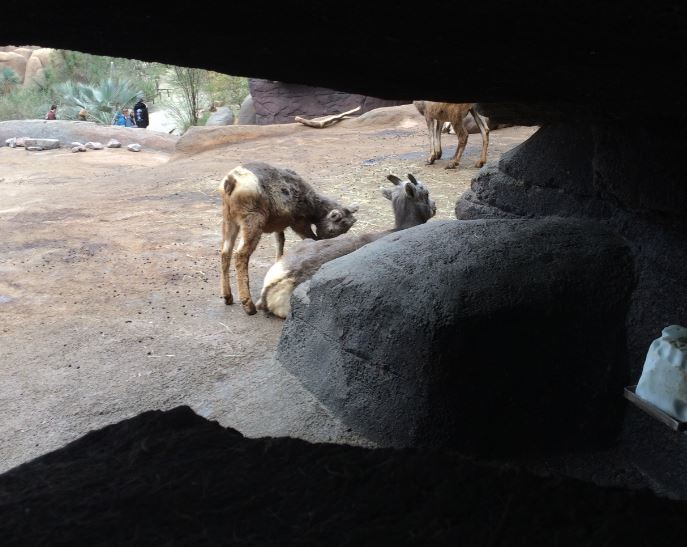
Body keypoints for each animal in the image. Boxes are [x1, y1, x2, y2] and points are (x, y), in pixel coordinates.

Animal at [219, 162, 359, 315]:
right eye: (333, 229)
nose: (328, 241)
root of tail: (231, 182)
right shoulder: (299, 222)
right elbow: (309, 237)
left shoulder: (279, 226)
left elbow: (280, 242)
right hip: (252, 222)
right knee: (240, 255)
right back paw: (248, 306)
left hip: (229, 220)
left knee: (225, 253)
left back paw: (228, 297)